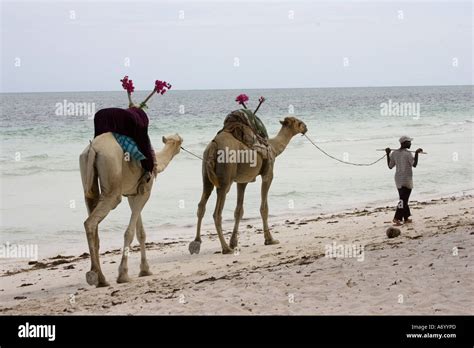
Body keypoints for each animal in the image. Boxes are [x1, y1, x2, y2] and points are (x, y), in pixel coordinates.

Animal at [78, 132, 182, 286]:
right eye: (179, 140)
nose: (181, 139)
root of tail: (92, 149)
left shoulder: (134, 194)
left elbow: (141, 233)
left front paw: (145, 270)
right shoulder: (145, 192)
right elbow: (130, 232)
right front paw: (123, 275)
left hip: (87, 181)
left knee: (92, 216)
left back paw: (99, 277)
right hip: (112, 183)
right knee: (90, 222)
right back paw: (99, 277)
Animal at [189, 115, 308, 254]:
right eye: (299, 122)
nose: (305, 127)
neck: (273, 148)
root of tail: (213, 146)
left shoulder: (242, 181)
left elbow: (239, 211)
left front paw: (234, 242)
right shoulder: (268, 175)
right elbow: (264, 208)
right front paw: (270, 240)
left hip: (206, 175)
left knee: (202, 205)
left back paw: (197, 242)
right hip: (225, 177)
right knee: (217, 212)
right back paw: (226, 248)